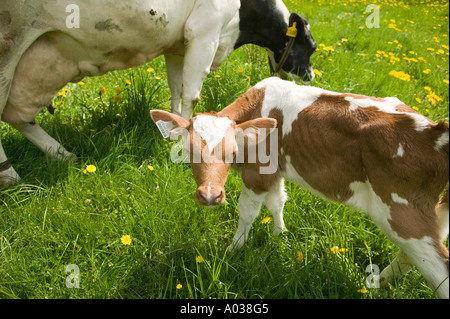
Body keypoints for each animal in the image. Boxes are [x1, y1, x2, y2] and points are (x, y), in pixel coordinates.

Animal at [0, 0, 316, 188]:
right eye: (312, 47)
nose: (313, 76)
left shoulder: (177, 45)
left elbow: (176, 88)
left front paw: (174, 130)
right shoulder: (204, 31)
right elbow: (191, 94)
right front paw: (188, 140)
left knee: (17, 115)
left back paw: (62, 155)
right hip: (8, 44)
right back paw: (9, 175)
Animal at [152, 77, 450, 300]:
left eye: (232, 152)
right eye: (189, 151)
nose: (210, 196)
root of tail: (438, 133)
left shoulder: (256, 173)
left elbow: (247, 213)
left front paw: (233, 250)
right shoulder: (273, 172)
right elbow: (277, 203)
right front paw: (279, 236)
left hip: (401, 214)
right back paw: (378, 282)